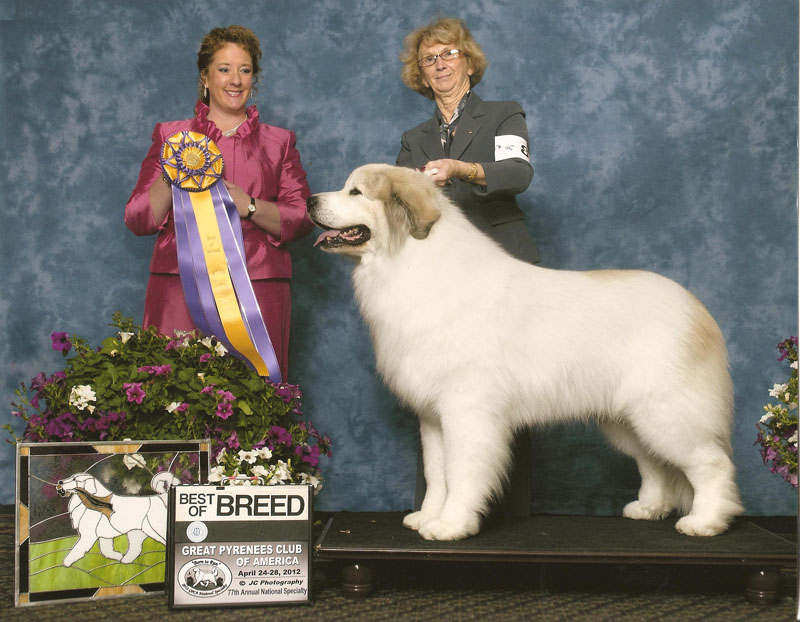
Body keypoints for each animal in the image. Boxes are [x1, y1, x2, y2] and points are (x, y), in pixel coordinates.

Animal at [306, 165, 744, 540]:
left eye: (355, 192)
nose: (309, 200)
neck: (409, 264)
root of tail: (697, 310)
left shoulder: (467, 412)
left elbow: (461, 471)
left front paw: (450, 525)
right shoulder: (432, 417)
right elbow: (436, 472)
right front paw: (427, 516)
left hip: (666, 412)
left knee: (711, 464)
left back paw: (705, 522)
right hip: (627, 419)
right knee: (653, 464)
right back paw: (648, 509)